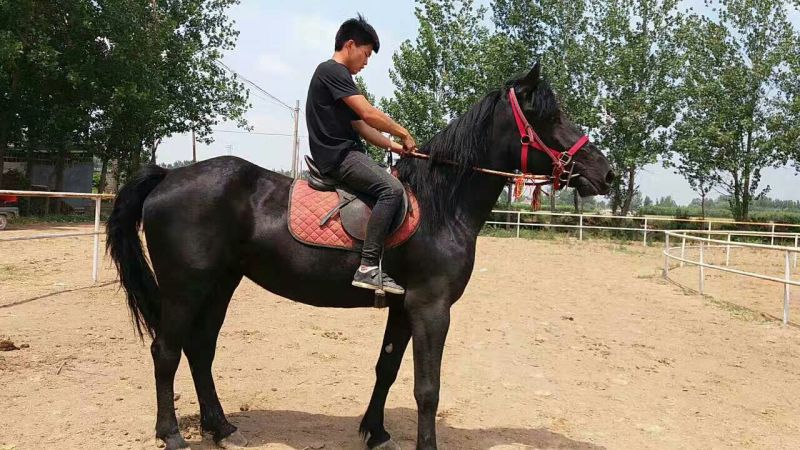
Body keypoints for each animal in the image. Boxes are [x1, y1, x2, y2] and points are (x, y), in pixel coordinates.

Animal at [106, 63, 614, 450]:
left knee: (201, 349)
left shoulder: (404, 307)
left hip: (221, 284)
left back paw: (221, 427)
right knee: (166, 350)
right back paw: (171, 434)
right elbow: (427, 388)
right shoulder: (431, 308)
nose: (605, 173)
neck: (441, 204)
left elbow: (386, 368)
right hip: (184, 286)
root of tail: (169, 176)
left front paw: (376, 432)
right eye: (551, 116)